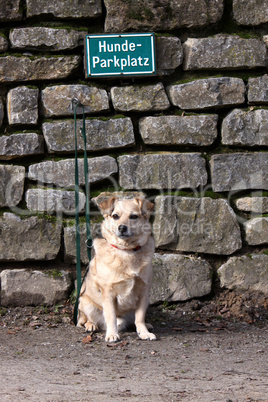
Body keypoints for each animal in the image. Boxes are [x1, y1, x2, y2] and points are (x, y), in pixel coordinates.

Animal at [76, 196, 156, 342]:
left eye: (133, 216)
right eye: (115, 216)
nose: (122, 227)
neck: (126, 250)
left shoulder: (143, 291)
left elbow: (140, 316)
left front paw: (144, 332)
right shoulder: (108, 293)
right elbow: (111, 317)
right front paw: (112, 334)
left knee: (134, 320)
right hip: (85, 303)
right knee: (86, 319)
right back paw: (91, 325)